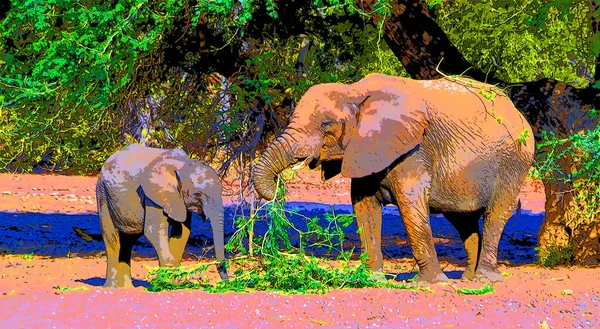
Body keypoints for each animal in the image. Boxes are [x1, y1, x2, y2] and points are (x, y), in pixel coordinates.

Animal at [253, 73, 536, 284]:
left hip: (514, 162)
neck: (355, 91)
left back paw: (484, 280)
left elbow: (410, 203)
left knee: (494, 215)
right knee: (463, 220)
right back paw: (467, 279)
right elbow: (364, 207)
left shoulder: (413, 149)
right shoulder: (365, 149)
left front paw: (430, 284)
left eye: (325, 124)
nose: (279, 189)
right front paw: (372, 279)